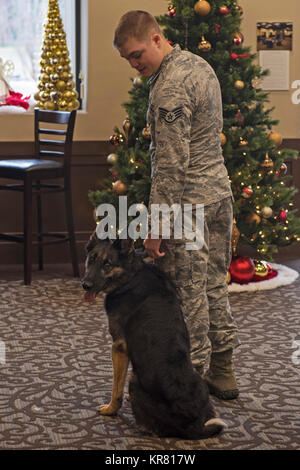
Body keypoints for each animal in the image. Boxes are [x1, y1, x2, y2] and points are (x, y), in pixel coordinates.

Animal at [82, 233, 225, 438]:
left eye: (107, 264)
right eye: (91, 259)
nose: (85, 286)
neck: (131, 275)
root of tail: (190, 424)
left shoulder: (119, 348)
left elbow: (116, 388)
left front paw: (110, 409)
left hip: (135, 381)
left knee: (150, 428)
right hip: (202, 385)